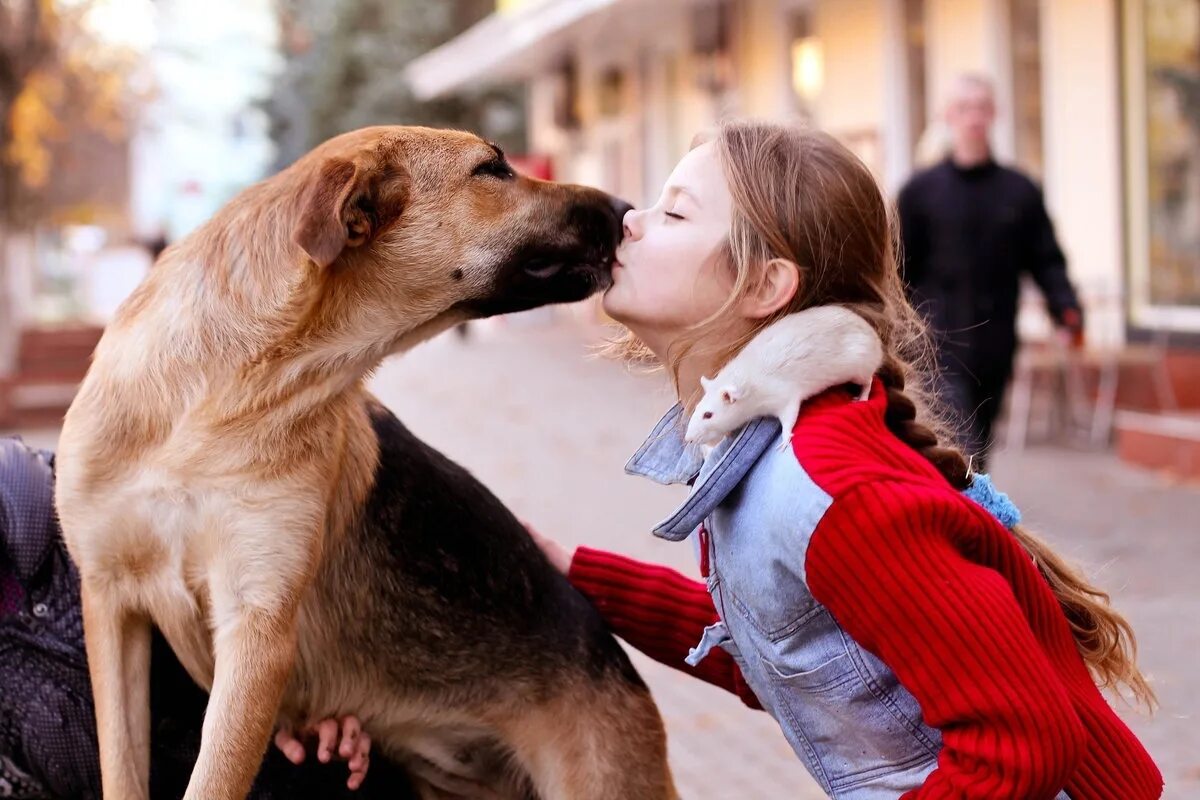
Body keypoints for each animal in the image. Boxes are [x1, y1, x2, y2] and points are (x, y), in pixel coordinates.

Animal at [54, 128, 676, 796]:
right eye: (492, 170)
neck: (226, 398)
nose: (626, 209)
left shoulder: (256, 631)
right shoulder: (110, 605)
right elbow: (121, 767)